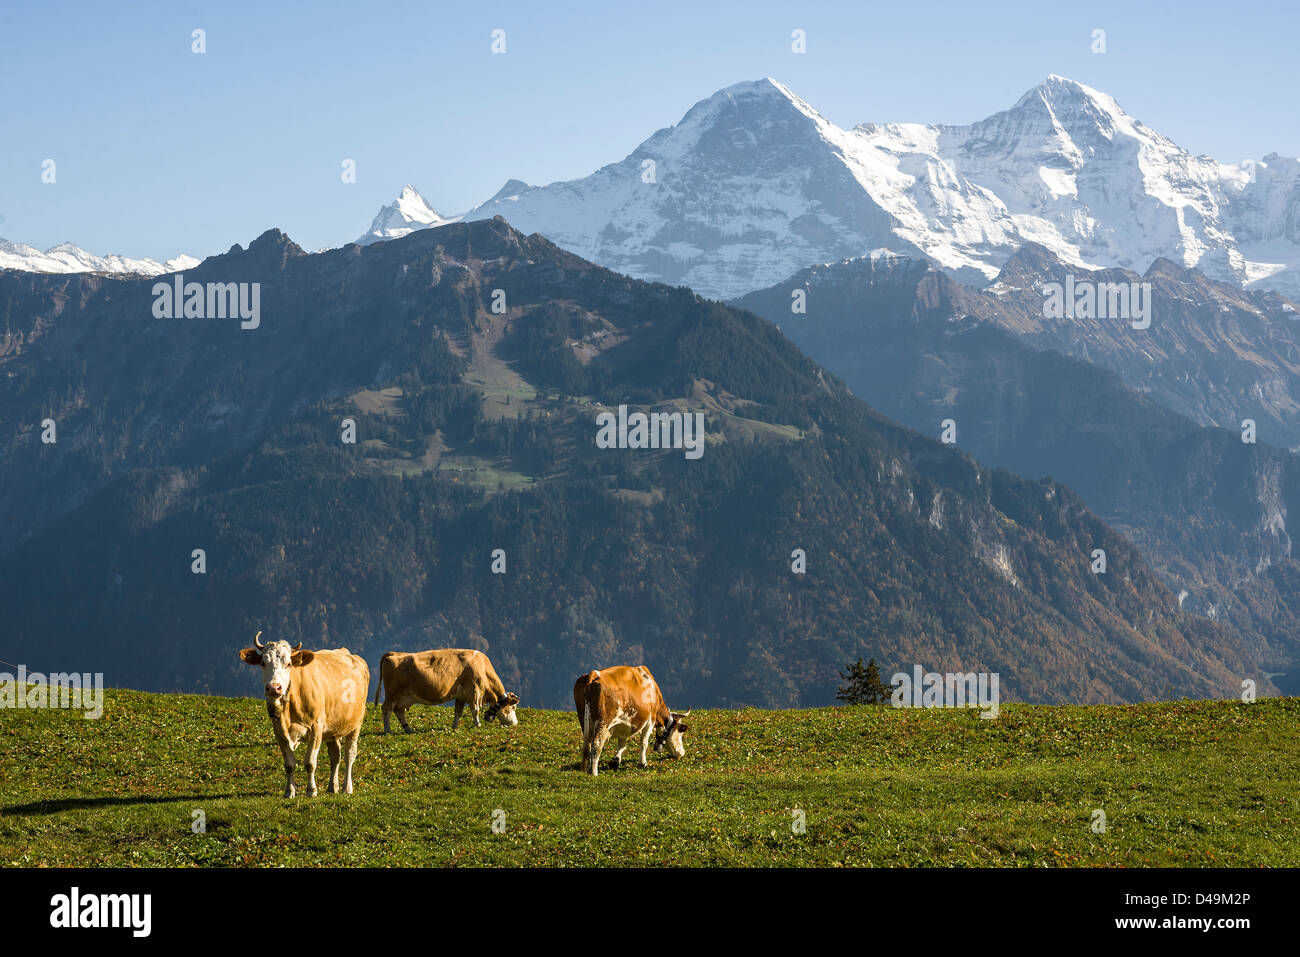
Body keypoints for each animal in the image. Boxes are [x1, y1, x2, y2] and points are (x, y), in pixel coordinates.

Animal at [238, 631, 369, 798]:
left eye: (289, 664)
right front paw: (289, 791)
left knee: (349, 754)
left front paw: (311, 790)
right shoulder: (279, 731)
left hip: (356, 723)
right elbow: (289, 765)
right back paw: (332, 786)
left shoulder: (316, 728)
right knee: (335, 756)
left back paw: (347, 787)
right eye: (262, 663)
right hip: (332, 729)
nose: (274, 688)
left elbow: (310, 763)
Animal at [373, 648, 520, 733]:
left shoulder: (461, 696)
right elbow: (475, 710)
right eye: (513, 707)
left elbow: (458, 711)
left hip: (404, 697)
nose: (515, 723)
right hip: (393, 694)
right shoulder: (474, 691)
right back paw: (388, 730)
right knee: (386, 709)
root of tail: (393, 654)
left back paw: (408, 729)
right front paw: (477, 724)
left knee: (399, 711)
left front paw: (455, 726)